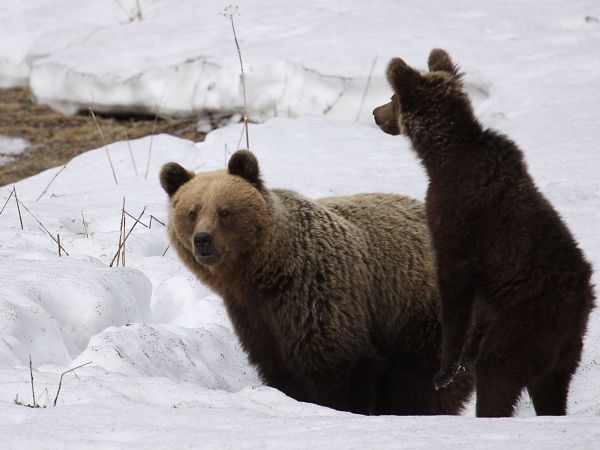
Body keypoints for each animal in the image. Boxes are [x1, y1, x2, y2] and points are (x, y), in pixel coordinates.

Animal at [376, 49, 596, 418]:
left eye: (393, 97)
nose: (376, 114)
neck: (441, 161)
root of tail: (580, 306)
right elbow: (478, 306)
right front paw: (465, 355)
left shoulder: (454, 222)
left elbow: (454, 293)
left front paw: (444, 371)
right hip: (563, 351)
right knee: (551, 388)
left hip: (526, 323)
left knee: (498, 373)